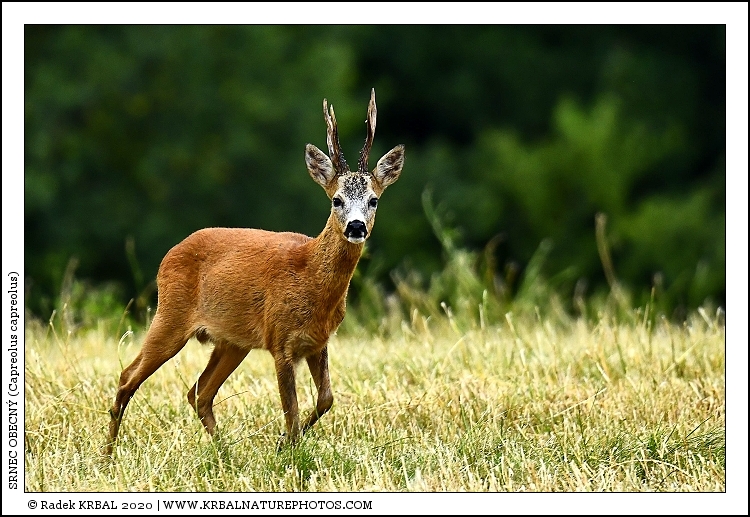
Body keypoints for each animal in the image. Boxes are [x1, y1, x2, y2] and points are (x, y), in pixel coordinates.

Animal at [104, 89, 404, 455]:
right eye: (336, 199)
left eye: (374, 200)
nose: (357, 226)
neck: (312, 280)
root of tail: (170, 254)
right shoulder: (280, 340)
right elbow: (292, 411)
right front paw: (289, 450)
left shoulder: (317, 341)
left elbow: (325, 399)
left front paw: (284, 444)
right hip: (170, 316)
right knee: (128, 377)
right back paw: (107, 456)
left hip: (232, 342)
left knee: (198, 392)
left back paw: (225, 453)